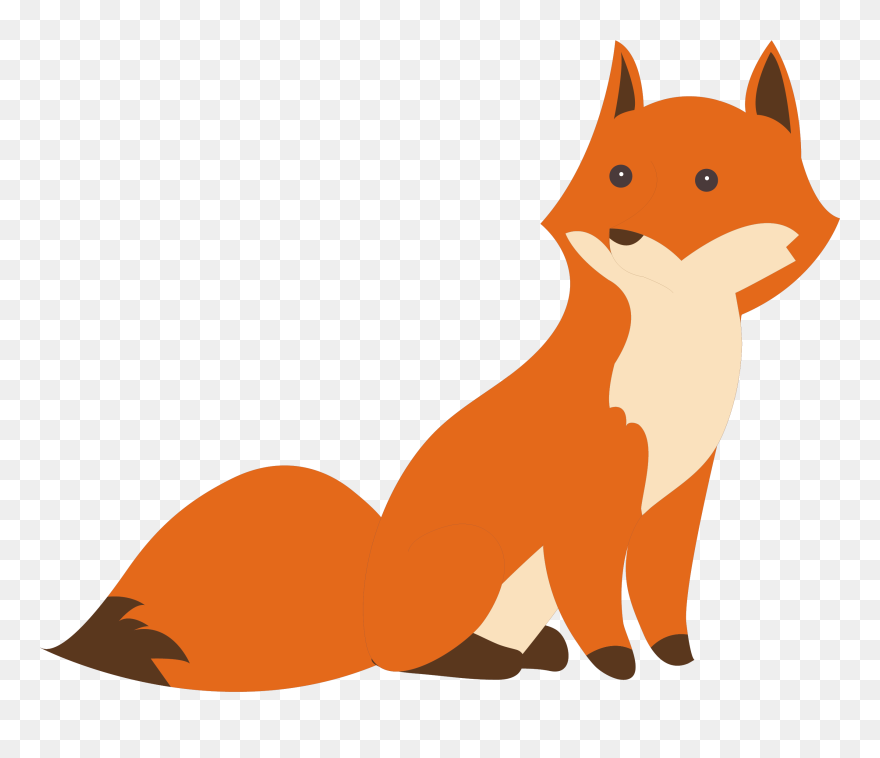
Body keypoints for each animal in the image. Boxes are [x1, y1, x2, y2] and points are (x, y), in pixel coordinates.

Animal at [47, 42, 838, 690]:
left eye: (708, 179)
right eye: (619, 174)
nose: (624, 233)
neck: (674, 359)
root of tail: (366, 612)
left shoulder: (679, 492)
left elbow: (662, 591)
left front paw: (675, 656)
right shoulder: (592, 497)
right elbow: (595, 597)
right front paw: (617, 662)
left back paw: (534, 651)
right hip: (472, 559)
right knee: (411, 661)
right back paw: (486, 662)